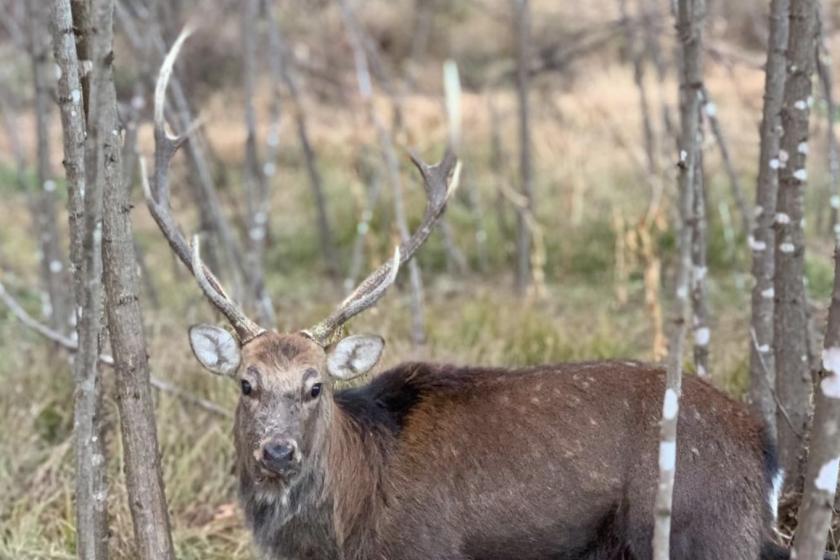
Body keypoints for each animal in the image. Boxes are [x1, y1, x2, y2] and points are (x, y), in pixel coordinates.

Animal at [146, 29, 800, 560]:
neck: (349, 525)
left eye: (316, 386)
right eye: (246, 383)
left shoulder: (424, 547)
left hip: (703, 526)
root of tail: (766, 448)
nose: (278, 452)